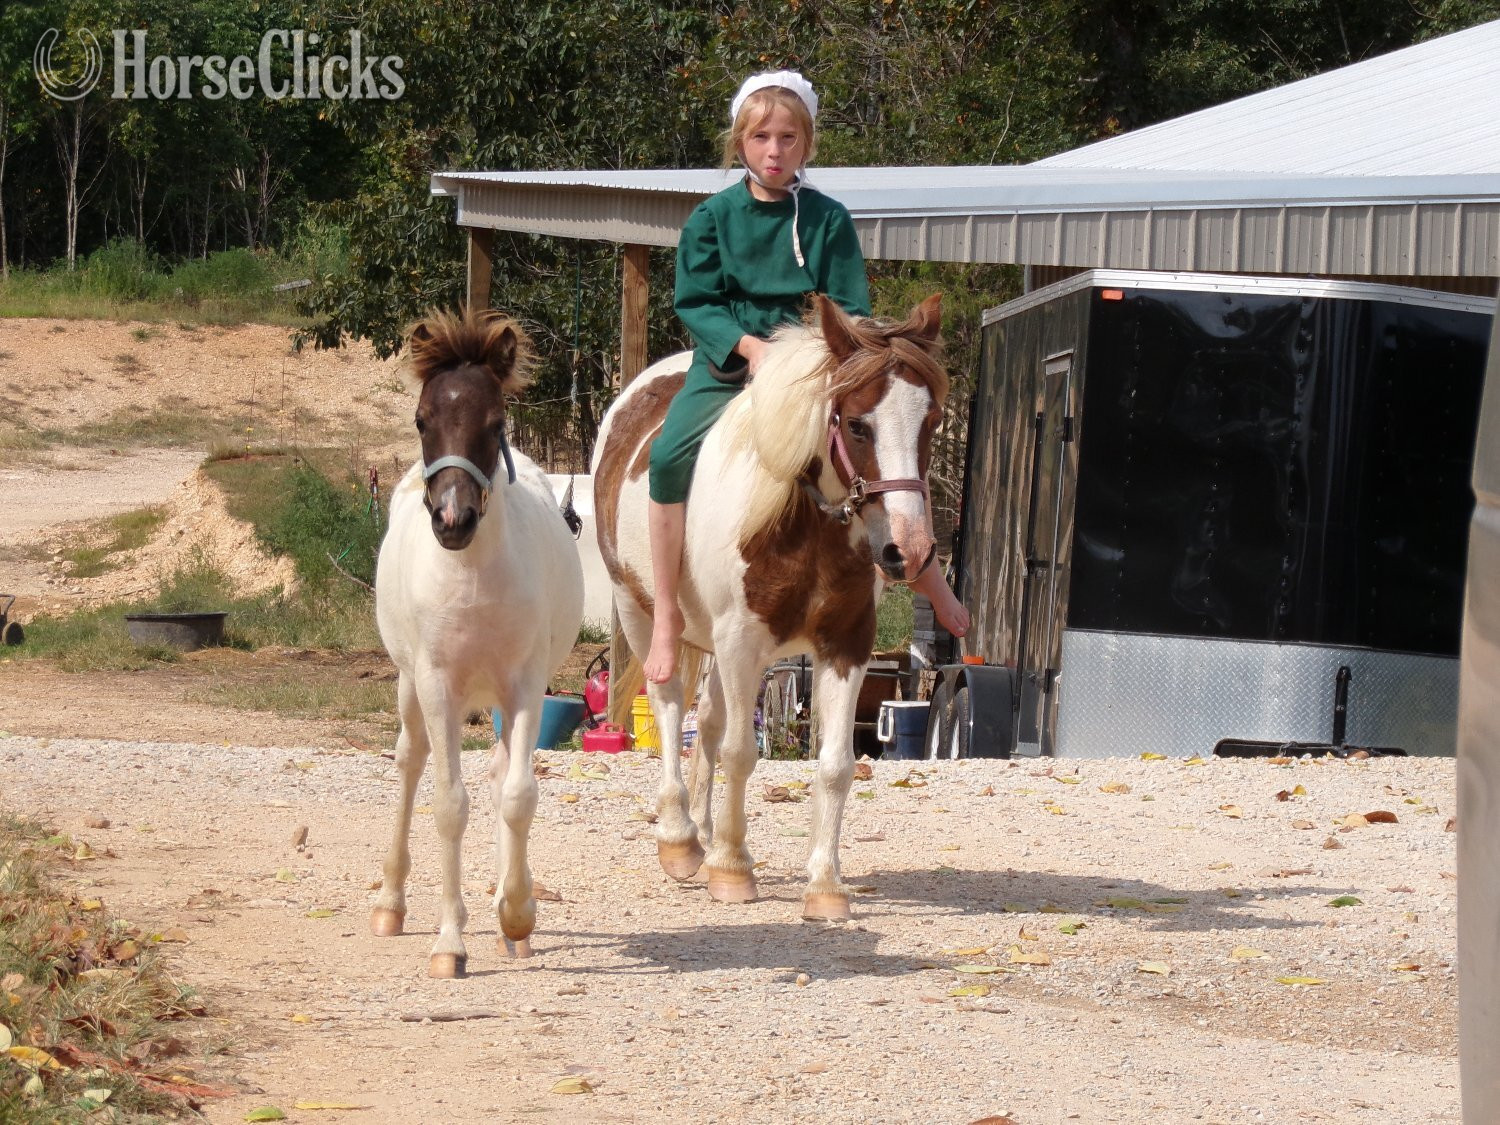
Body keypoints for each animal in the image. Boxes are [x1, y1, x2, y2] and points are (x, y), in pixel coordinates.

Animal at [371, 308, 585, 977]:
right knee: (409, 762)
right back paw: (390, 905)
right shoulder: (438, 685)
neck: (471, 577)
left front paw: (516, 914)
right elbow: (448, 803)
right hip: (408, 685)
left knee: (497, 771)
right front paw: (449, 942)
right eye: (422, 419)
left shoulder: (526, 684)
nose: (453, 520)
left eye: (495, 425)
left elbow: (517, 794)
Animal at [594, 293, 947, 921]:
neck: (801, 522)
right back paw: (680, 839)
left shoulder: (846, 645)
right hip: (643, 615)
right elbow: (739, 752)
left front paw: (825, 885)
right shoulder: (742, 642)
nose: (908, 550)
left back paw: (704, 836)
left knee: (706, 720)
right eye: (857, 424)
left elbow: (835, 765)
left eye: (930, 422)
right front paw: (733, 871)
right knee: (669, 707)